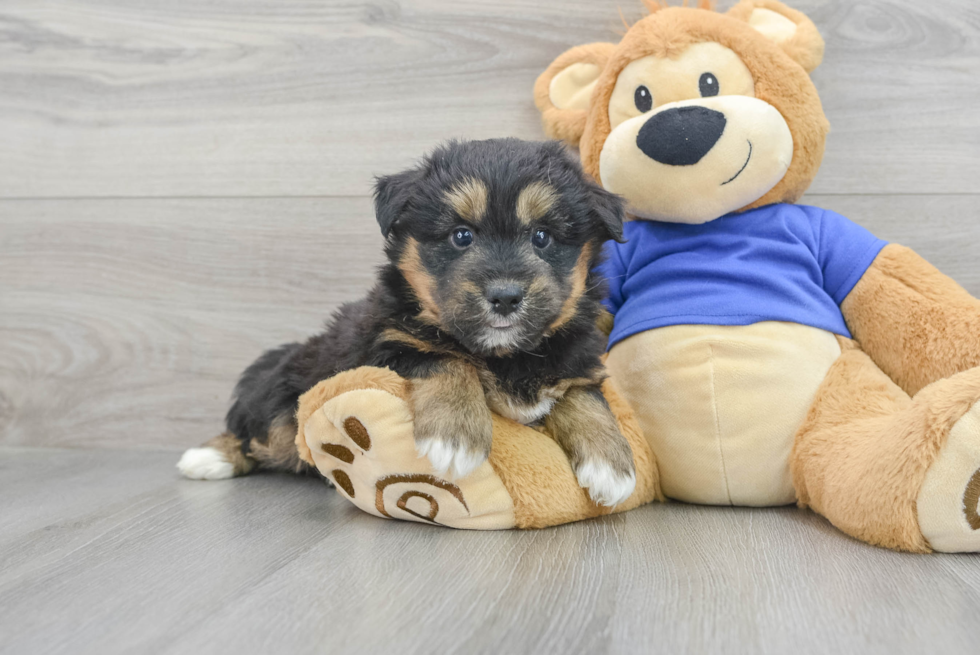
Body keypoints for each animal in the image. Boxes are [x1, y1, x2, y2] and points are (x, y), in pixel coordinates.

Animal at [180, 138, 640, 508]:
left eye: (542, 237)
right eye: (461, 236)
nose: (506, 296)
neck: (504, 354)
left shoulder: (575, 359)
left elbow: (585, 397)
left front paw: (611, 465)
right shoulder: (389, 342)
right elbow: (447, 358)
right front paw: (454, 437)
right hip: (286, 397)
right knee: (259, 435)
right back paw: (209, 458)